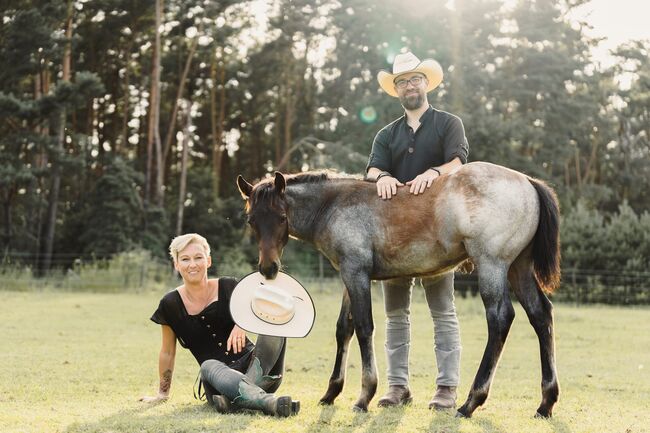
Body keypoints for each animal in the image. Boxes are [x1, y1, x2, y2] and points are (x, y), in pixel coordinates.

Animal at [235, 160, 560, 416]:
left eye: (281, 218)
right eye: (251, 221)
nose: (268, 268)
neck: (335, 204)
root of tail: (528, 181)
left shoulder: (357, 274)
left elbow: (364, 327)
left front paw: (364, 396)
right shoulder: (349, 276)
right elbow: (344, 329)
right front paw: (330, 393)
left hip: (492, 265)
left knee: (501, 318)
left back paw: (470, 402)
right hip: (519, 268)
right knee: (540, 315)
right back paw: (546, 402)